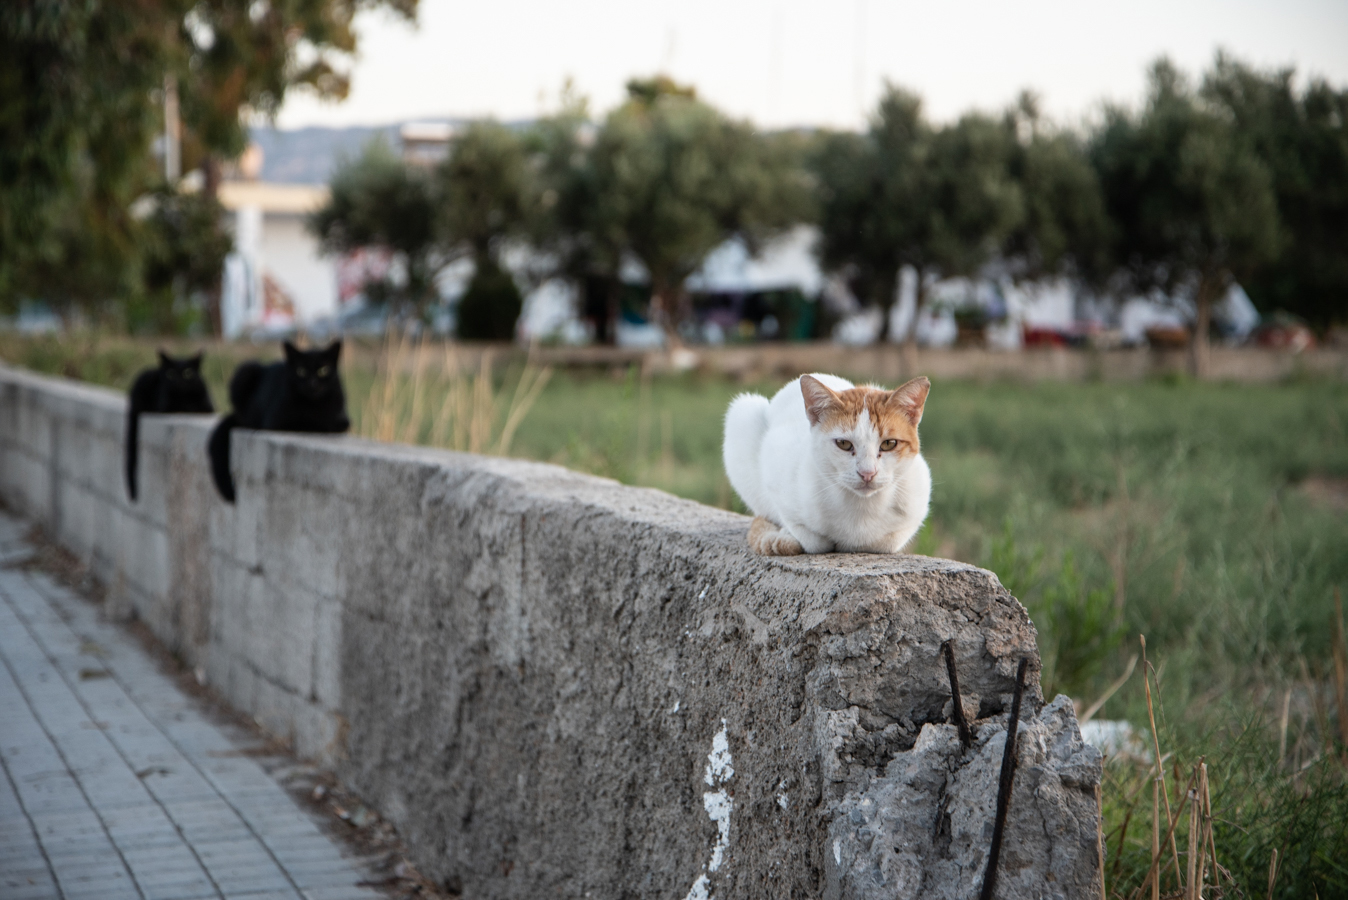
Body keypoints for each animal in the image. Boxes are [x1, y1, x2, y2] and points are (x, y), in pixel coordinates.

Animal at [126, 350, 212, 503]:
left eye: (188, 373)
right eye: (170, 374)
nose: (178, 382)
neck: (185, 398)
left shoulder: (208, 407)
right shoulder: (166, 406)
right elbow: (181, 407)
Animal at [207, 340, 350, 503]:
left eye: (324, 370)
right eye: (301, 371)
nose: (312, 383)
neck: (313, 405)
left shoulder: (343, 418)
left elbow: (336, 423)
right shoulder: (278, 421)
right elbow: (308, 422)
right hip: (245, 372)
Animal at [722, 371, 932, 555]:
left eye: (889, 444)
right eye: (844, 444)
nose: (867, 473)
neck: (861, 509)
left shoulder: (917, 500)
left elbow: (887, 541)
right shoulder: (774, 471)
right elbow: (809, 536)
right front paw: (787, 534)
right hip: (742, 414)